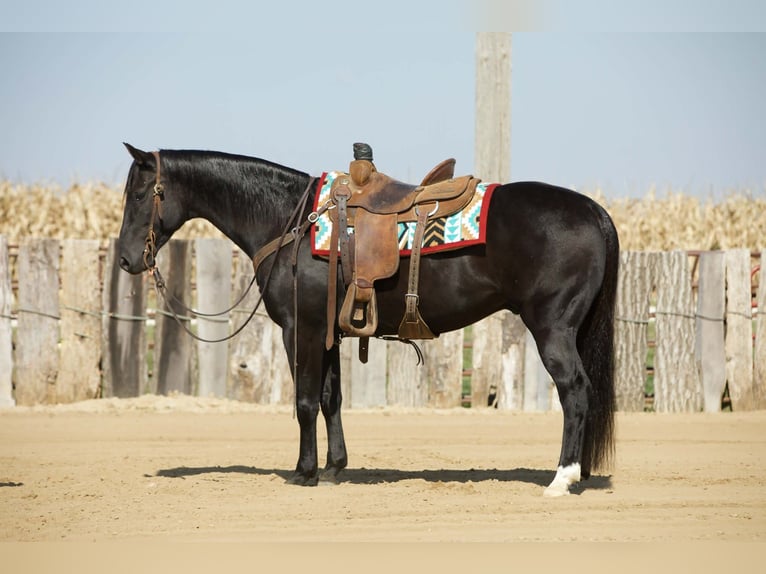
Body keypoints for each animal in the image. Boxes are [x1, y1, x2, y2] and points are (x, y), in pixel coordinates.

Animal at [117, 143, 619, 497]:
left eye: (140, 193)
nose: (125, 259)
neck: (289, 221)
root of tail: (594, 210)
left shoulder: (302, 330)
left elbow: (304, 402)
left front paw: (304, 473)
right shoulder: (331, 334)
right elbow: (331, 399)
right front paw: (335, 467)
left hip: (553, 328)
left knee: (575, 391)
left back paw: (562, 478)